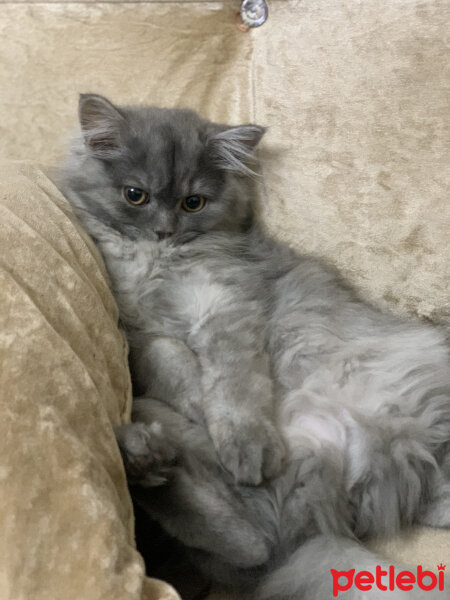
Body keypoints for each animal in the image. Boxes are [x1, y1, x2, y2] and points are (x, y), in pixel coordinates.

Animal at [57, 95, 450, 600]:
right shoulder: (138, 334)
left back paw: (151, 463)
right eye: (135, 195)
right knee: (248, 542)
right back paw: (142, 460)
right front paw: (197, 400)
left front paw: (245, 443)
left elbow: (232, 389)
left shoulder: (227, 308)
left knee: (252, 542)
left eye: (193, 202)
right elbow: (170, 357)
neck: (156, 263)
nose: (164, 231)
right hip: (157, 417)